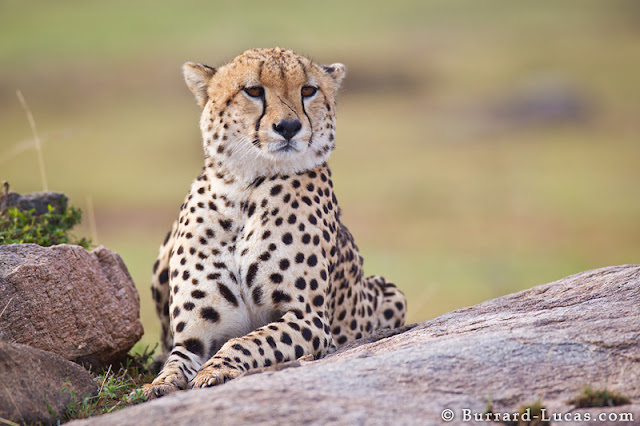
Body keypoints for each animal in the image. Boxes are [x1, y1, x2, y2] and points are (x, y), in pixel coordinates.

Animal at [144, 48, 404, 398]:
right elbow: (174, 362)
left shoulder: (309, 319)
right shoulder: (193, 337)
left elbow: (249, 341)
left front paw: (215, 369)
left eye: (308, 90)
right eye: (253, 91)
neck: (244, 188)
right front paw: (159, 385)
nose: (289, 126)